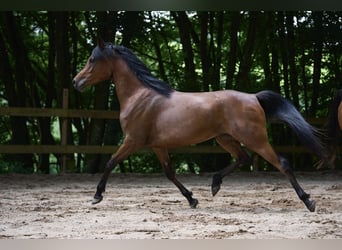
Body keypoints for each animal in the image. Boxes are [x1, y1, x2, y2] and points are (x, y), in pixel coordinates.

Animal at [73, 40, 328, 212]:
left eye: (92, 60)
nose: (76, 82)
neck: (140, 96)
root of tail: (254, 97)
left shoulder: (133, 140)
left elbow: (110, 162)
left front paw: (97, 195)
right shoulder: (157, 145)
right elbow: (169, 173)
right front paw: (192, 199)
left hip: (255, 139)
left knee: (281, 163)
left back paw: (308, 201)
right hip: (225, 138)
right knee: (243, 158)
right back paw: (215, 184)